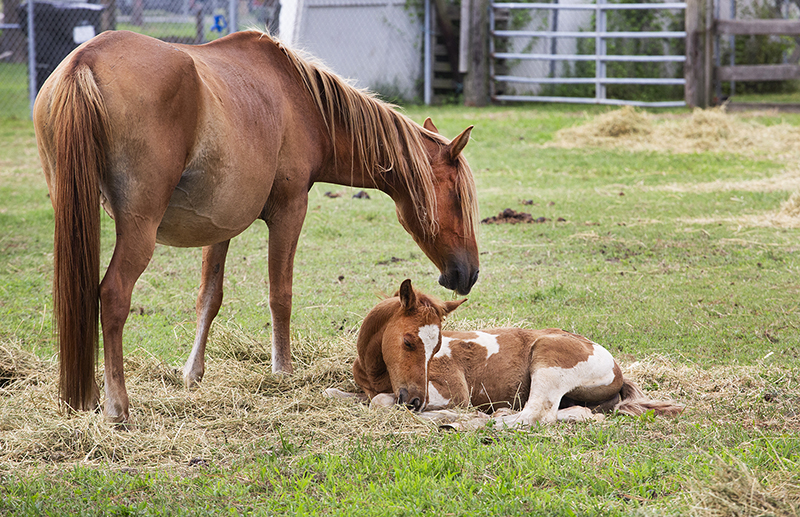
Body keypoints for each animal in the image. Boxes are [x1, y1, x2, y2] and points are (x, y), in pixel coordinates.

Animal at [34, 30, 478, 422]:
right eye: (457, 198)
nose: (469, 273)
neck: (301, 102)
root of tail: (84, 61)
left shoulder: (219, 226)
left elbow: (209, 298)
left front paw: (192, 374)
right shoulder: (289, 212)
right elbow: (280, 295)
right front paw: (282, 371)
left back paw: (85, 398)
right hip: (138, 231)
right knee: (112, 296)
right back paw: (116, 406)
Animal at [336, 278, 680, 428]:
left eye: (436, 347)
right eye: (408, 342)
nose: (416, 401)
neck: (374, 373)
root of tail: (616, 368)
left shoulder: (453, 391)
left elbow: (380, 402)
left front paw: (451, 415)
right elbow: (341, 394)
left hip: (548, 359)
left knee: (536, 414)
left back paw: (471, 422)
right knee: (573, 413)